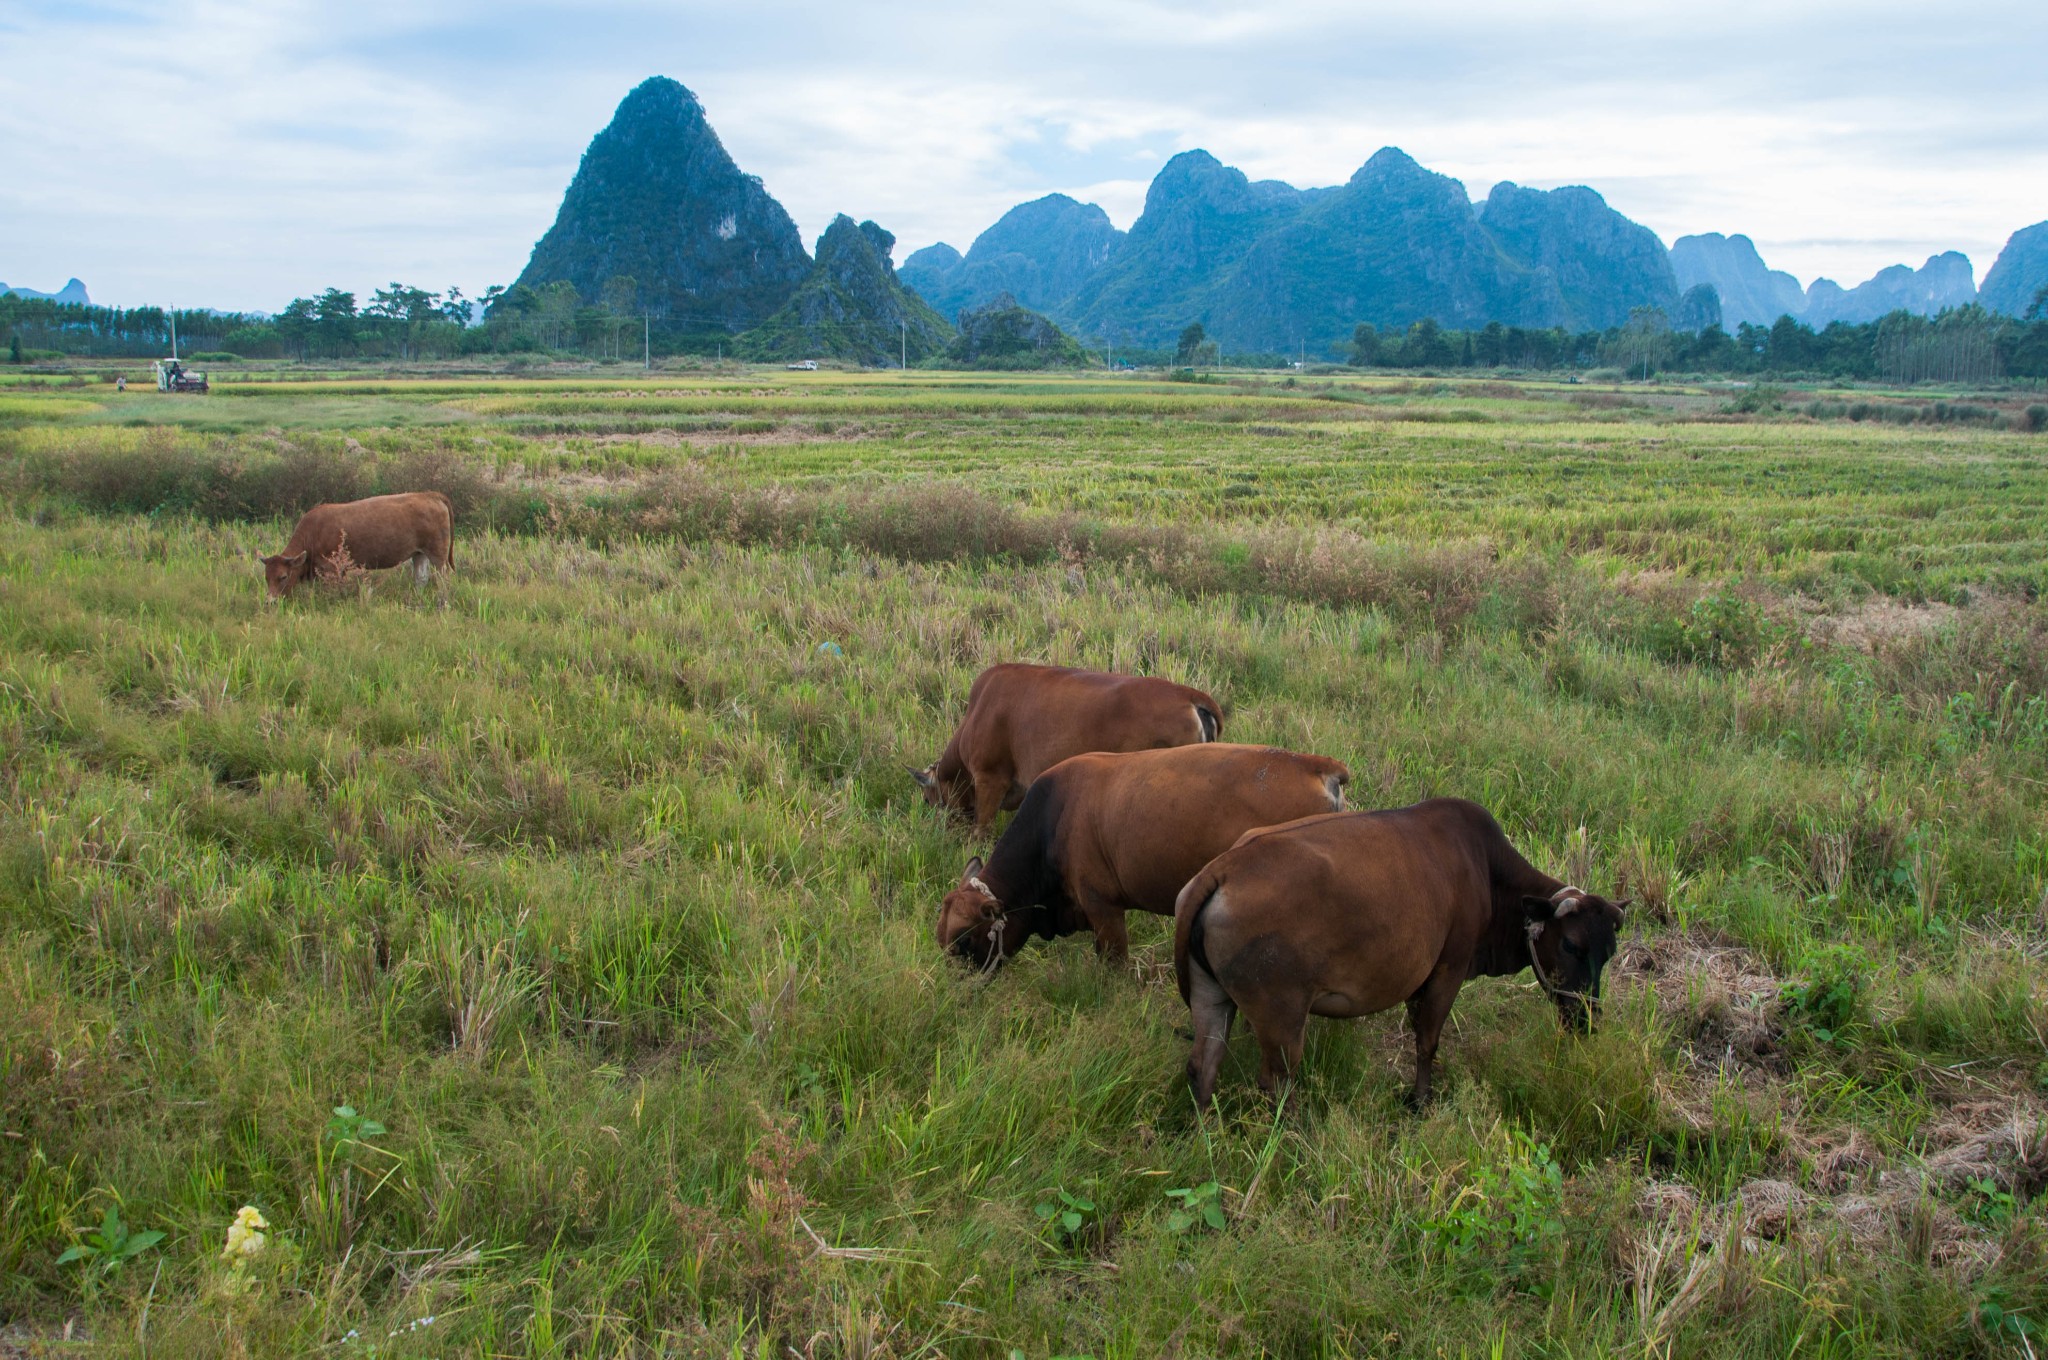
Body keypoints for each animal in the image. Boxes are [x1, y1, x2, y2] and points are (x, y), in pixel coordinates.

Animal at [254, 489, 452, 593]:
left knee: (443, 579)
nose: (270, 602)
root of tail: (430, 495)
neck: (313, 532)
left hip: (437, 555)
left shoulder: (331, 569)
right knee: (421, 578)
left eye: (283, 576)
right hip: (419, 554)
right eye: (266, 577)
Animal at [909, 663, 1212, 835]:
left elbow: (980, 831)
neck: (978, 710)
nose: (942, 833)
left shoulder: (990, 779)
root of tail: (1189, 695)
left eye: (927, 800)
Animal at [1171, 802, 1630, 1114]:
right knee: (1275, 1081)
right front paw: (1420, 1099)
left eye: (1610, 953)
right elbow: (1427, 1040)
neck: (1486, 870)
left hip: (1213, 997)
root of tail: (1222, 870)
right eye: (1571, 945)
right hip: (1281, 1018)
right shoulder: (1448, 969)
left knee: (1202, 1066)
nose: (1588, 1019)